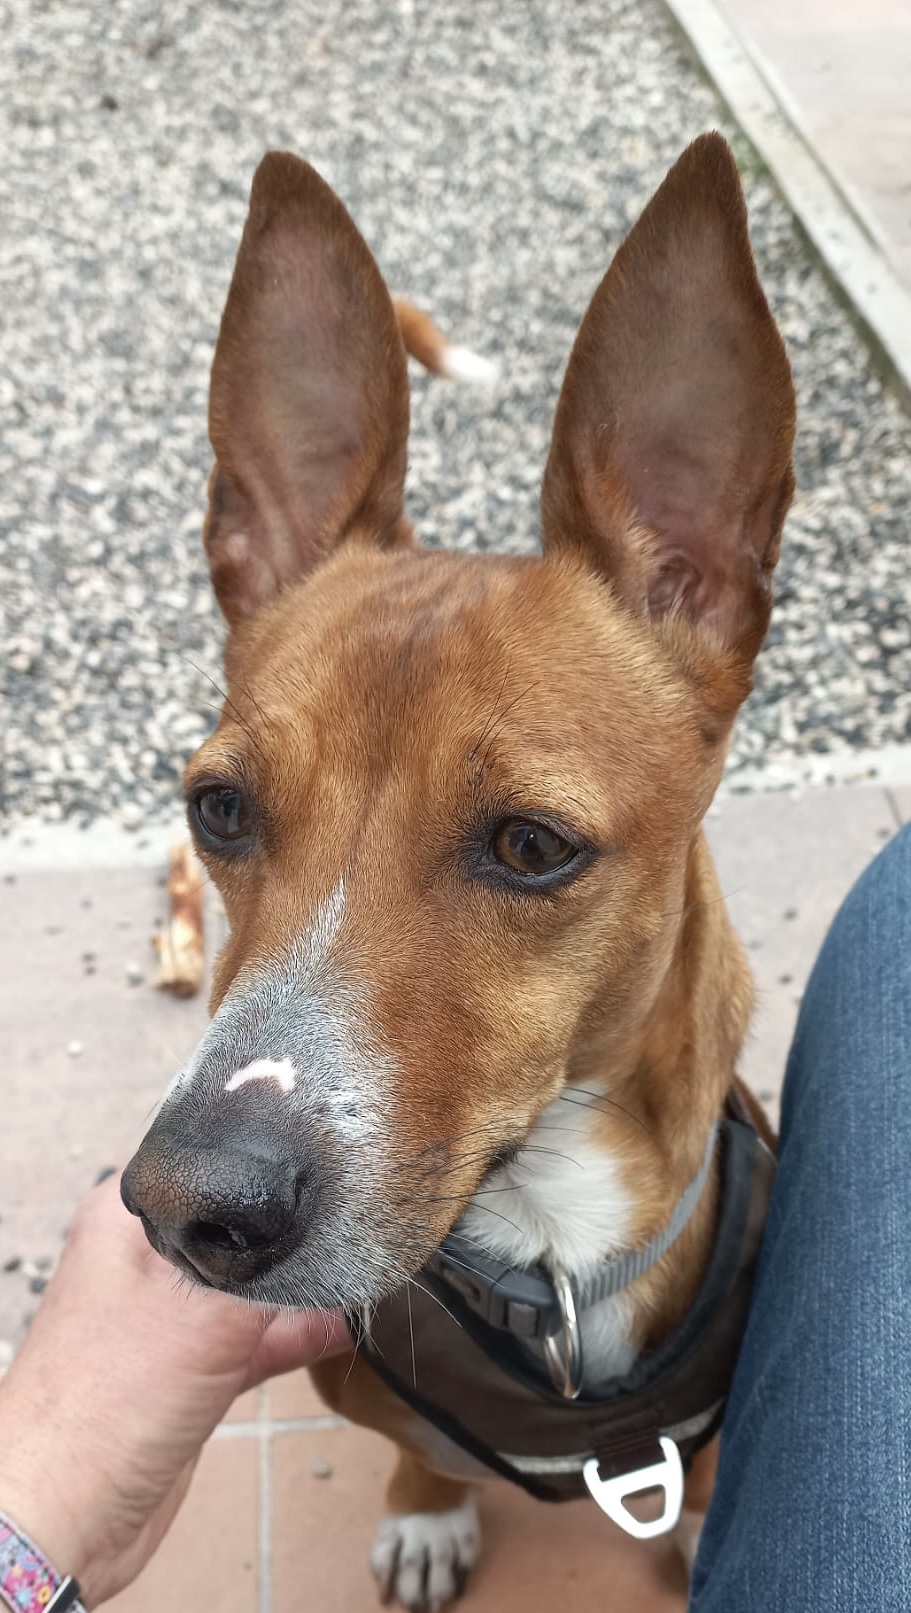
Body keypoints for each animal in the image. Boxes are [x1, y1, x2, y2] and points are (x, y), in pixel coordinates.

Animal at [122, 132, 794, 1610]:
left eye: (531, 847)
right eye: (220, 809)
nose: (189, 1207)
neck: (550, 1251)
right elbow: (413, 1448)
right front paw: (427, 1512)